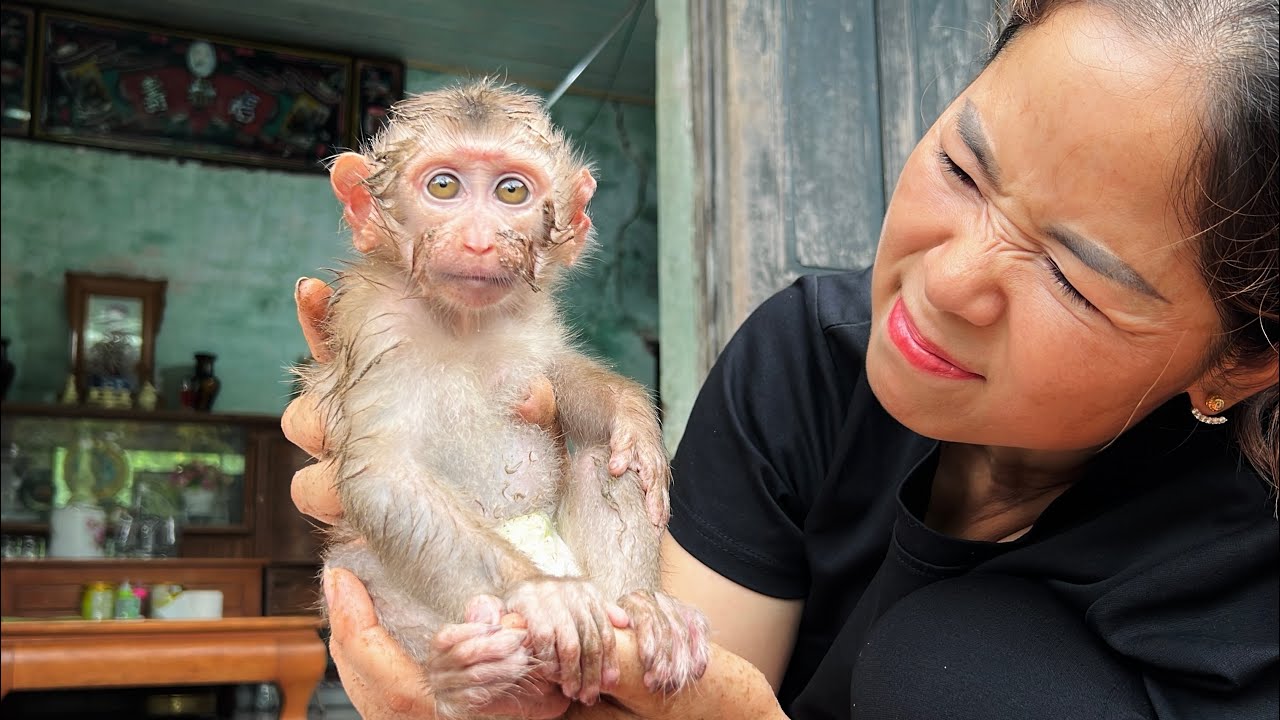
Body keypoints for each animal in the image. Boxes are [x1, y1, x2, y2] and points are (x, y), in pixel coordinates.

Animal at [297, 79, 709, 720]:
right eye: (443, 186)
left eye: (511, 190)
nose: (478, 240)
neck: (466, 323)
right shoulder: (377, 324)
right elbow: (382, 472)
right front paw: (537, 594)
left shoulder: (531, 318)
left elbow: (560, 377)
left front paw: (633, 419)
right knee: (359, 562)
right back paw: (464, 681)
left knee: (602, 463)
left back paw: (641, 606)